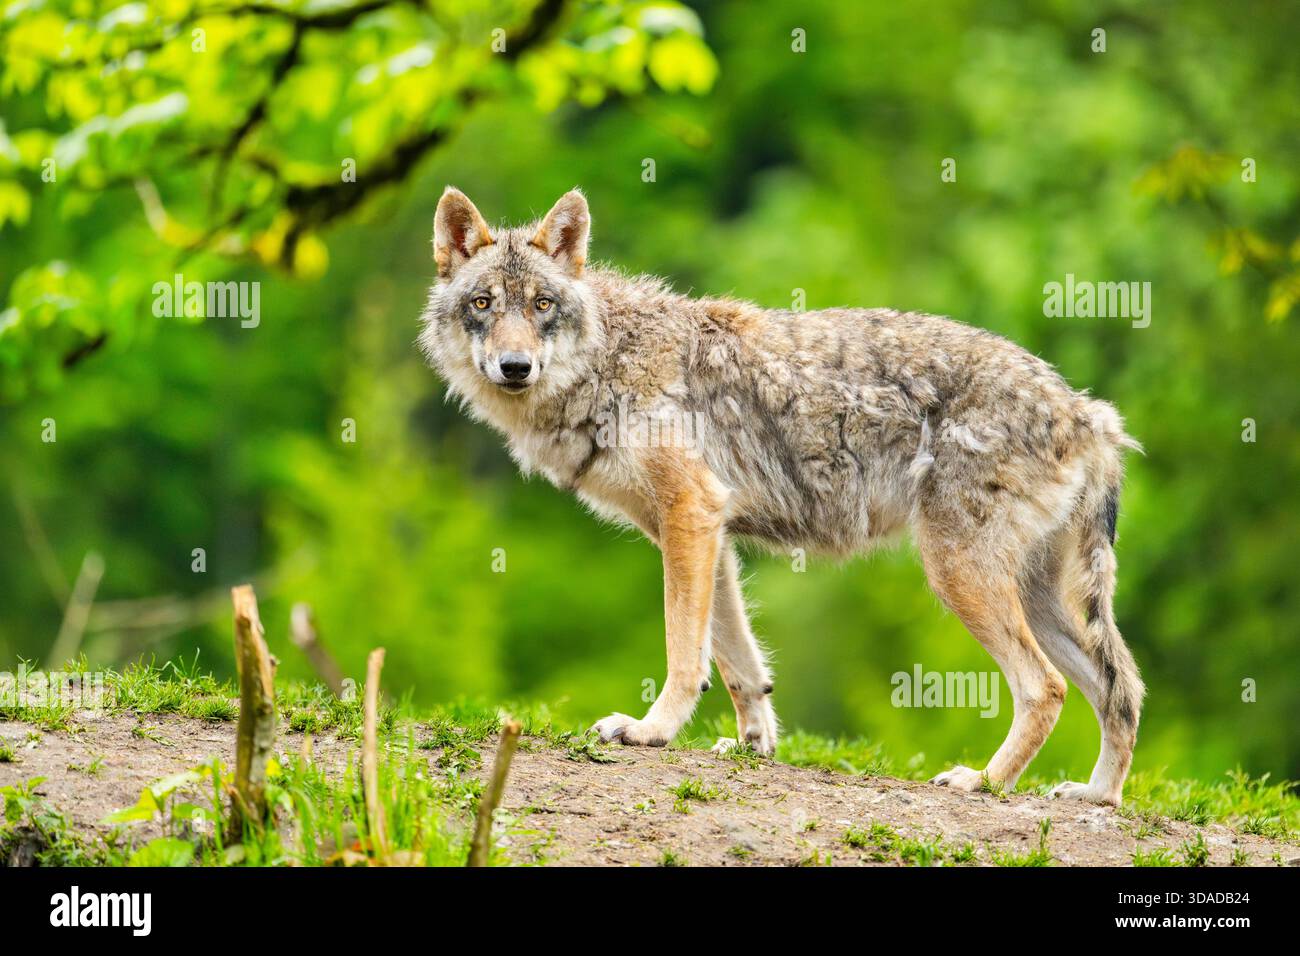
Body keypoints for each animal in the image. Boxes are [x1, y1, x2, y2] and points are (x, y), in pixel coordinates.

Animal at [419, 187, 1145, 805]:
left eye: (542, 305)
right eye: (483, 304)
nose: (515, 367)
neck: (607, 362)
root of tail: (1089, 412)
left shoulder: (690, 517)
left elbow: (683, 653)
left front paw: (652, 731)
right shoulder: (705, 532)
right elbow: (738, 664)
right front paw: (753, 746)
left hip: (958, 575)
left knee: (1047, 688)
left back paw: (983, 782)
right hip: (1033, 595)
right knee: (1123, 689)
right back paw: (1096, 797)